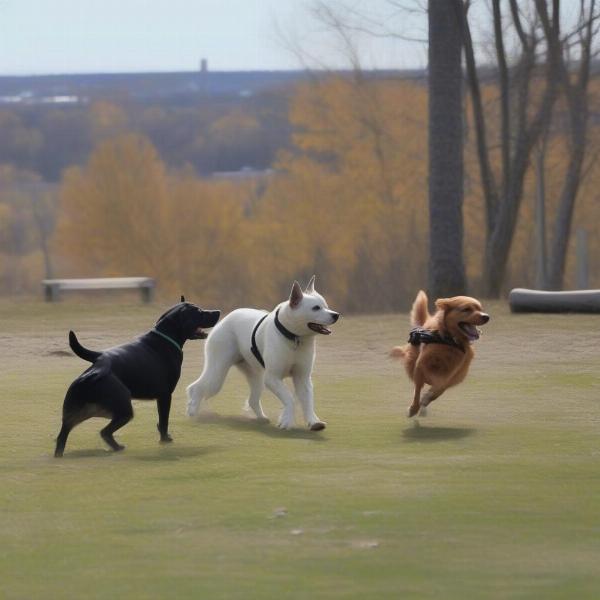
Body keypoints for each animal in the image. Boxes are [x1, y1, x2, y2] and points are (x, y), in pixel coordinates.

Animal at [55, 298, 219, 458]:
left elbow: (161, 422)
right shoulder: (165, 395)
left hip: (72, 415)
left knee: (61, 438)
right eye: (199, 312)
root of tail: (99, 362)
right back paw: (117, 448)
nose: (218, 311)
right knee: (105, 432)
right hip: (124, 411)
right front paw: (165, 440)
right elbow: (163, 421)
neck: (166, 338)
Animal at [185, 276, 340, 432]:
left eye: (326, 305)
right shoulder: (272, 378)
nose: (336, 315)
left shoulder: (303, 378)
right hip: (218, 374)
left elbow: (307, 400)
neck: (294, 338)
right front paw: (287, 421)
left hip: (256, 377)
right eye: (316, 308)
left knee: (252, 400)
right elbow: (289, 398)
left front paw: (313, 422)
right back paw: (192, 410)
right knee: (196, 387)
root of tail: (226, 318)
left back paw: (261, 418)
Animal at [392, 290, 490, 418]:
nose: (486, 316)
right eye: (466, 309)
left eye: (480, 308)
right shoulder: (420, 367)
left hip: (458, 376)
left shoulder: (449, 375)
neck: (449, 341)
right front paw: (413, 408)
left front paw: (425, 399)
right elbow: (418, 391)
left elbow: (437, 388)